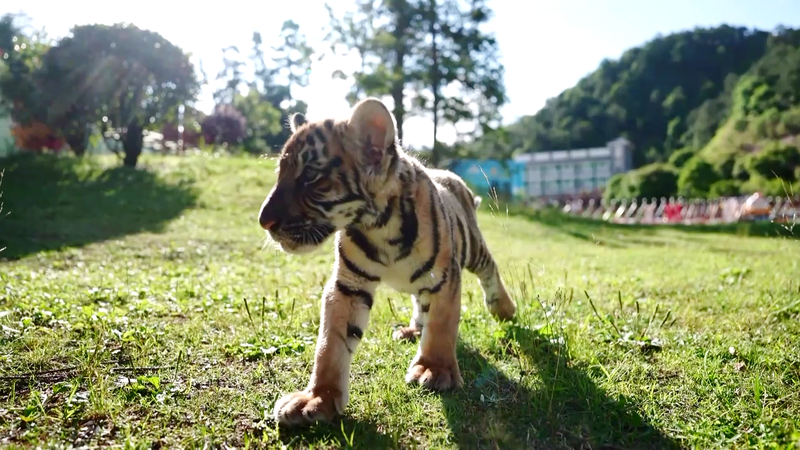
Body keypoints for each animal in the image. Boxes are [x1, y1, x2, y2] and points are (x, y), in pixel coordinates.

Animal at [258, 98, 517, 427]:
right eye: (281, 173)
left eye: (310, 177)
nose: (264, 221)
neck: (379, 226)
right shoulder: (348, 285)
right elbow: (330, 343)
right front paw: (316, 399)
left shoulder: (444, 276)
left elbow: (442, 323)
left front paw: (435, 370)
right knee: (421, 304)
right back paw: (412, 330)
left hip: (472, 247)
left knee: (489, 268)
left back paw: (504, 308)